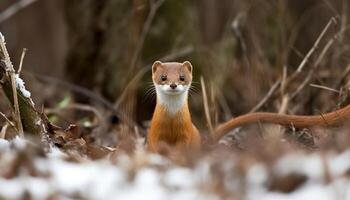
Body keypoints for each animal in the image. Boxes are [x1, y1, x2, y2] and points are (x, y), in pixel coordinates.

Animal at [148, 60, 350, 151]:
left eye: (182, 77)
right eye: (163, 77)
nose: (173, 84)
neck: (171, 122)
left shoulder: (186, 134)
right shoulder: (155, 132)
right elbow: (156, 145)